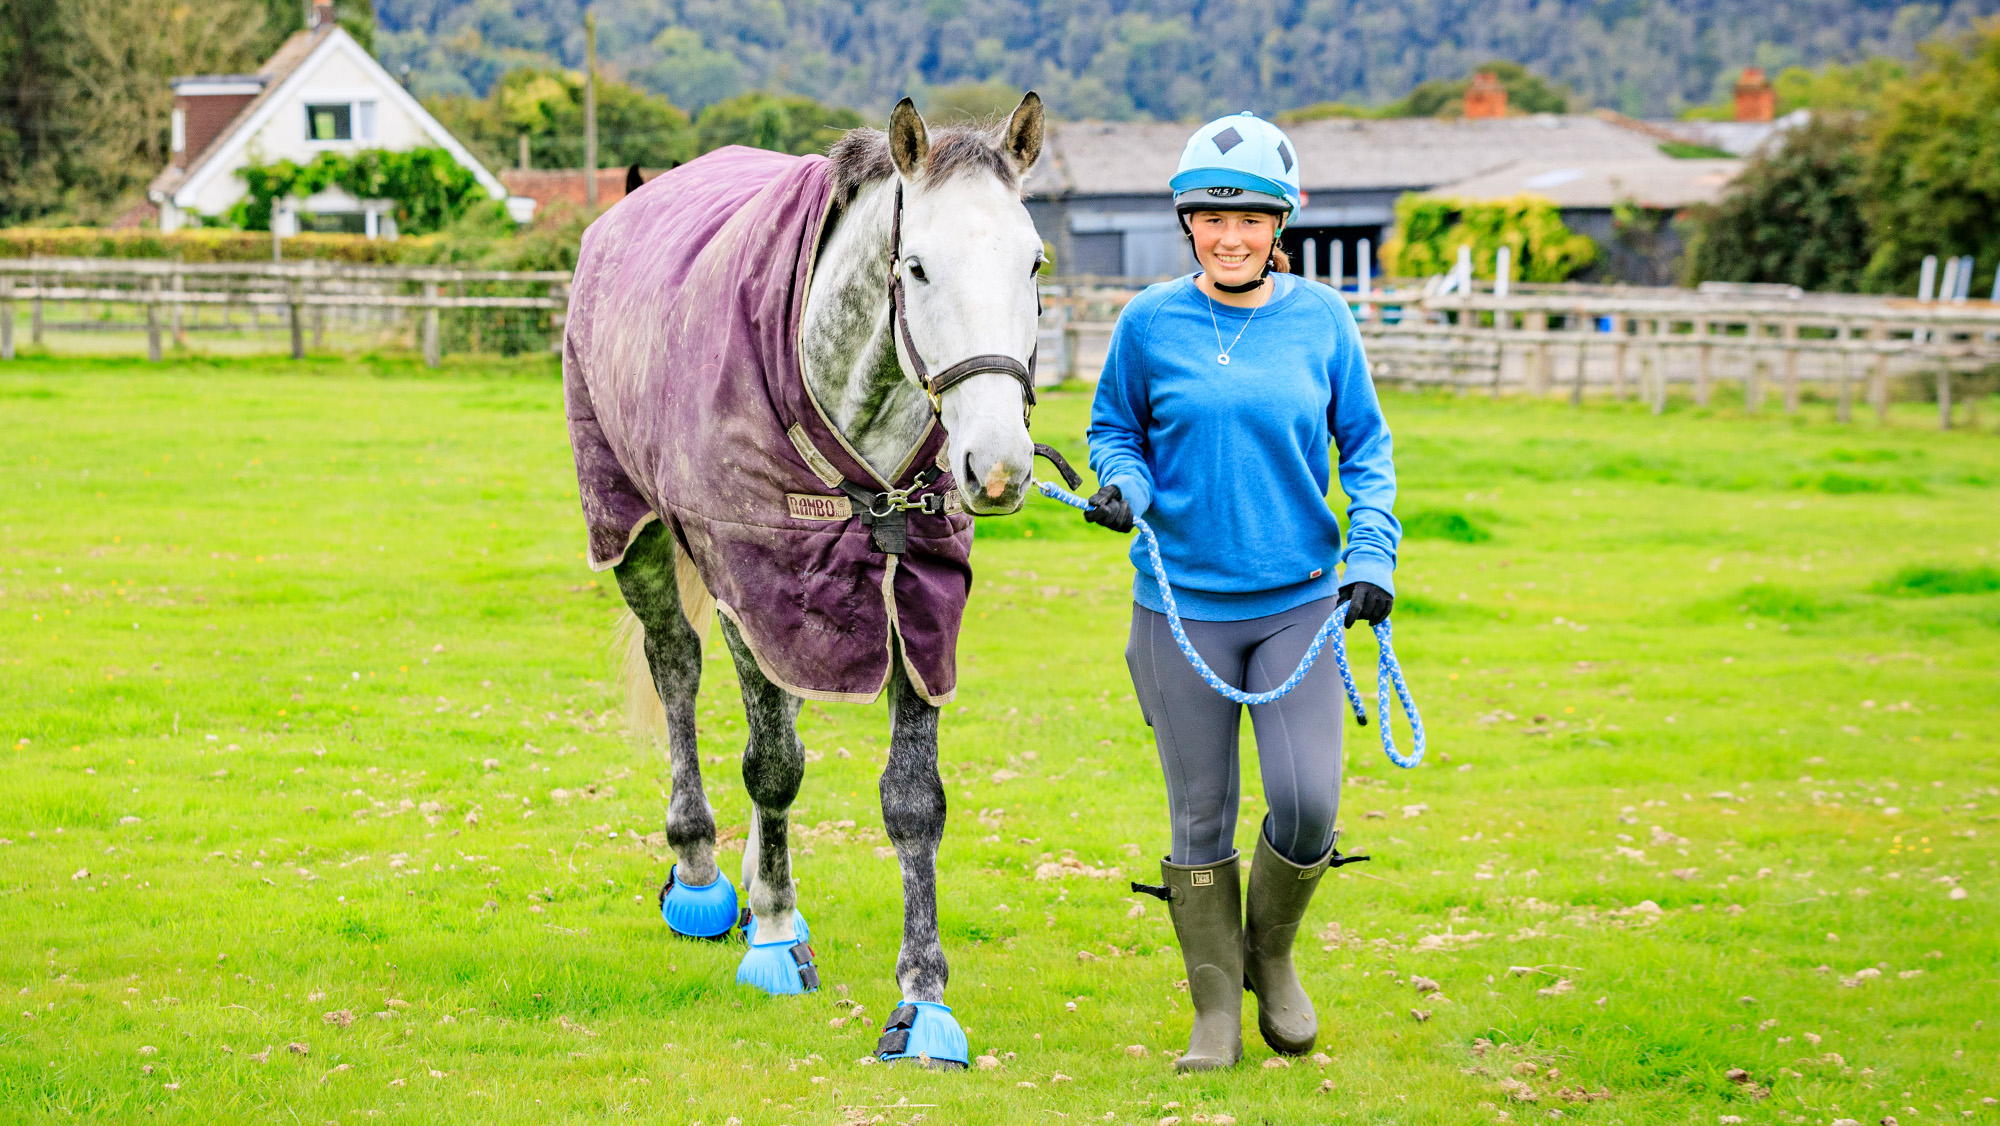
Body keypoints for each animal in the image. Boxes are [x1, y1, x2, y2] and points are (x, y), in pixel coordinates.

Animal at [561, 94, 1050, 1068]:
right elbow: (773, 765)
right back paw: (705, 873)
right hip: (631, 527)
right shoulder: (750, 578)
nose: (999, 467)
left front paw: (922, 999)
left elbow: (913, 802)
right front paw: (779, 939)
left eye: (1034, 262)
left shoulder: (917, 605)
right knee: (677, 669)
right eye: (917, 266)